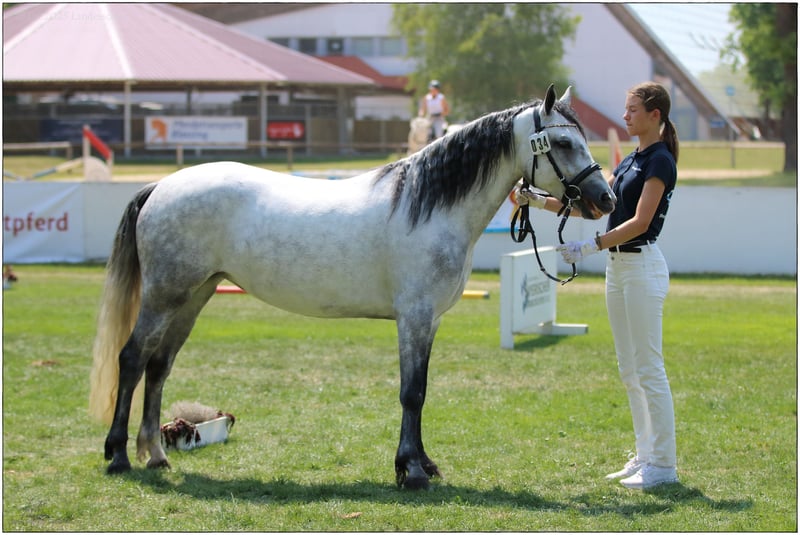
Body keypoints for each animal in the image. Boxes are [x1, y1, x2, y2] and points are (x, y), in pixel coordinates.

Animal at [89, 85, 616, 490]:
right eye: (562, 143)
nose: (605, 199)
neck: (428, 205)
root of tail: (160, 187)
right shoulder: (414, 317)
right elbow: (412, 392)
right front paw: (411, 472)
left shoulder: (428, 322)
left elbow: (421, 389)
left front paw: (422, 464)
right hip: (164, 296)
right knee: (132, 360)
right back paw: (118, 456)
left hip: (193, 296)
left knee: (159, 366)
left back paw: (156, 455)